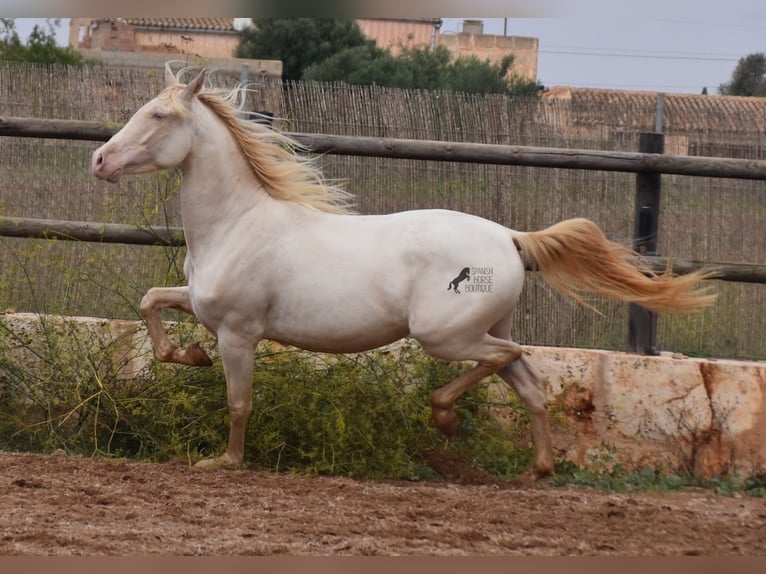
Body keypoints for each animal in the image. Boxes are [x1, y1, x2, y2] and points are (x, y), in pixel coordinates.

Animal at [91, 65, 720, 484]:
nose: (101, 160)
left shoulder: (239, 333)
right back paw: (535, 470)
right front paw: (187, 356)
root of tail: (510, 239)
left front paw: (225, 460)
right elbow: (150, 302)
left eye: (159, 115)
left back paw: (444, 417)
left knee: (507, 358)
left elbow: (238, 401)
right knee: (528, 379)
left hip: (445, 335)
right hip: (479, 329)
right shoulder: (199, 306)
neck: (236, 223)